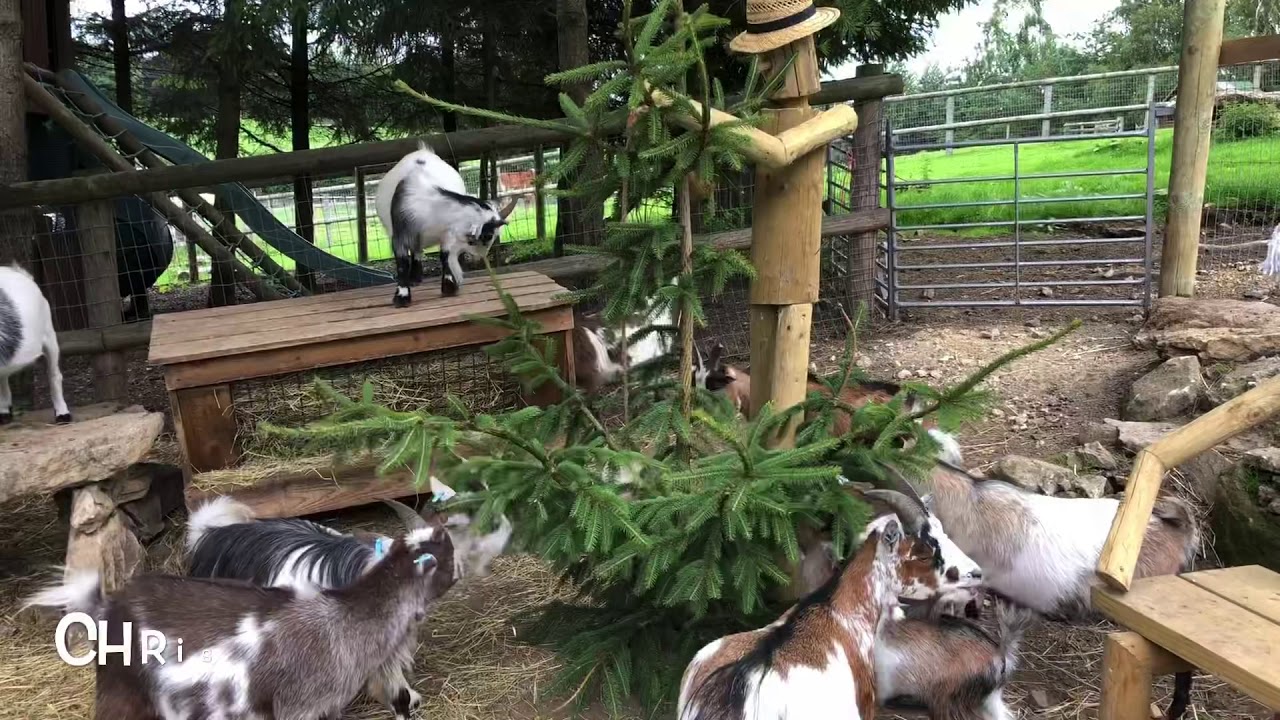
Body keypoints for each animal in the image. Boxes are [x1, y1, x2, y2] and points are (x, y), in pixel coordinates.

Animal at [375, 142, 517, 307]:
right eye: (488, 235)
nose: (481, 257)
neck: (429, 208)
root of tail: (423, 151)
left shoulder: (447, 233)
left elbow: (444, 255)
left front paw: (449, 285)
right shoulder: (400, 234)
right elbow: (402, 262)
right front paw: (402, 297)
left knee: (418, 250)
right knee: (415, 251)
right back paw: (414, 279)